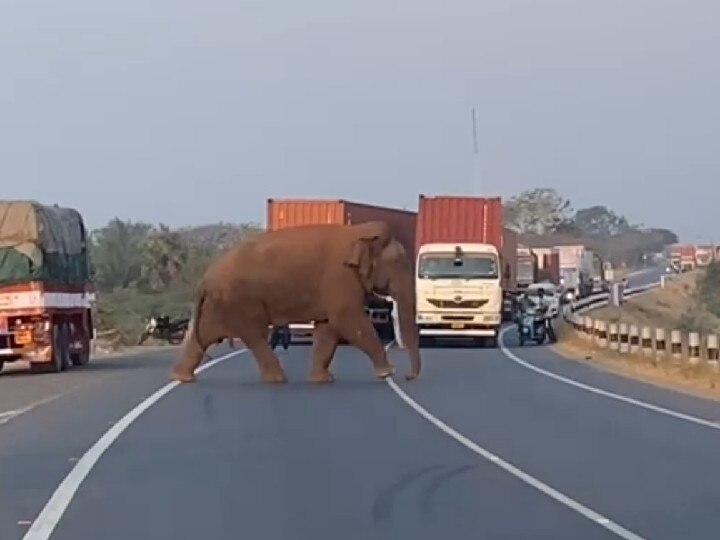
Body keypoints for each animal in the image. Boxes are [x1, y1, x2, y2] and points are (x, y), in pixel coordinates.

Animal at [170, 219, 422, 384]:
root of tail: (204, 279)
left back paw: (182, 377)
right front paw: (387, 372)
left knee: (203, 336)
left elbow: (328, 328)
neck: (359, 232)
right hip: (240, 301)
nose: (408, 376)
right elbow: (348, 321)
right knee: (255, 335)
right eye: (399, 263)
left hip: (218, 305)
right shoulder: (338, 278)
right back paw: (277, 379)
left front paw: (323, 379)